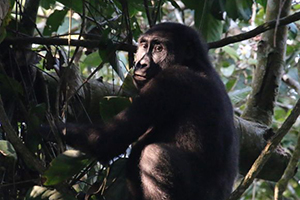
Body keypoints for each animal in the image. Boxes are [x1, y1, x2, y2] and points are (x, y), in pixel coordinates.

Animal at [65, 23, 239, 200]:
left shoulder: (170, 80)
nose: (141, 63)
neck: (194, 64)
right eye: (143, 46)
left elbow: (107, 140)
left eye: (158, 48)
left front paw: (56, 128)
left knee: (155, 155)